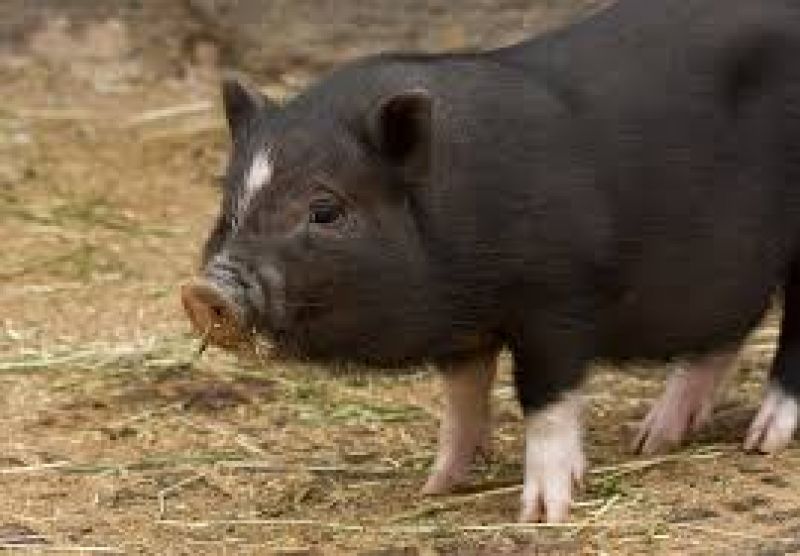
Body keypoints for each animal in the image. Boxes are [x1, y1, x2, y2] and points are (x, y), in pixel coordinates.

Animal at [182, 0, 800, 522]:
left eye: (325, 210)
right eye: (229, 205)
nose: (206, 290)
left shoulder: (559, 301)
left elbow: (545, 401)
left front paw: (542, 515)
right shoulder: (463, 330)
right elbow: (461, 401)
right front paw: (434, 487)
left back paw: (761, 441)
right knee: (726, 332)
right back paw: (653, 439)